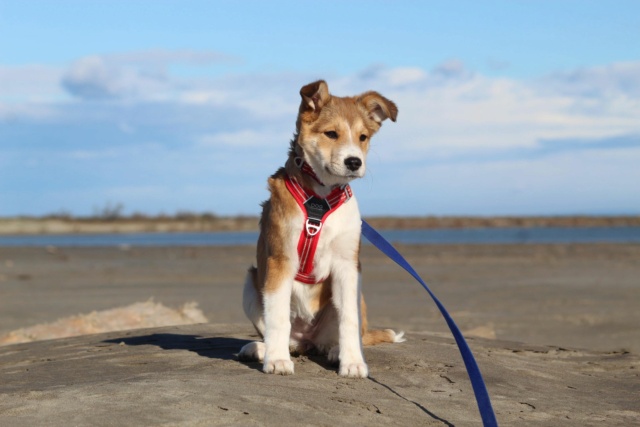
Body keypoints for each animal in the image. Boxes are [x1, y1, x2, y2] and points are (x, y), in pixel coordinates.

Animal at [240, 79, 404, 378]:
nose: (354, 162)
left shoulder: (348, 265)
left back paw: (336, 351)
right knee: (282, 332)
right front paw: (276, 360)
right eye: (331, 133)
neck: (321, 199)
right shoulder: (280, 260)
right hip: (252, 281)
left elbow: (348, 320)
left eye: (363, 137)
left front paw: (353, 362)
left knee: (334, 337)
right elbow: (277, 318)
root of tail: (307, 340)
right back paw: (261, 348)